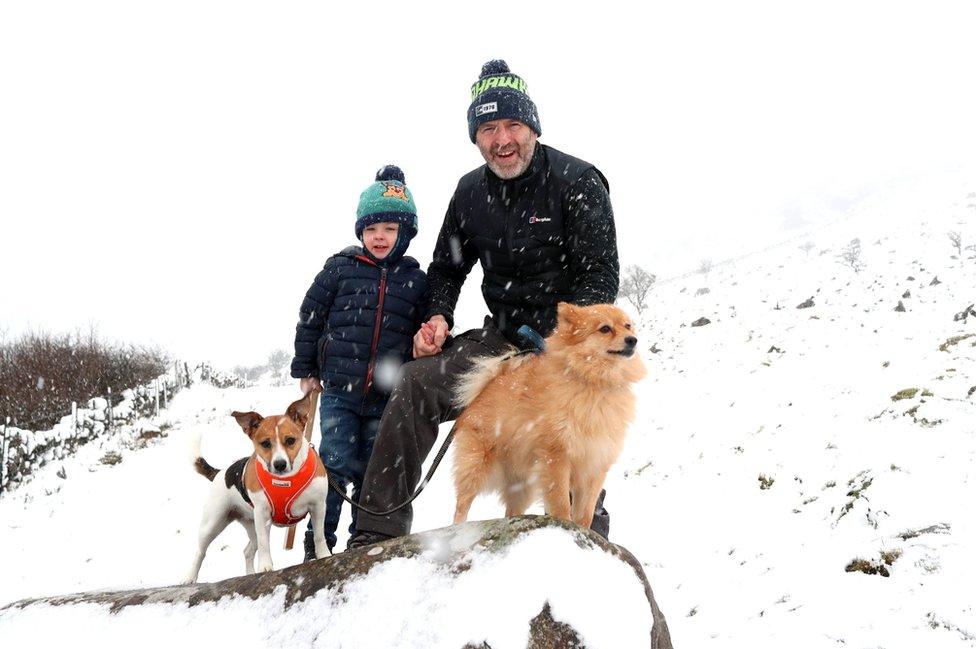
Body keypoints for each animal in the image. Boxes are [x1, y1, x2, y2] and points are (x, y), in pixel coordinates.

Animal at [185, 390, 330, 584]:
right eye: (265, 444)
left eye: (290, 440)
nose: (280, 464)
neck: (286, 481)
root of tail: (220, 473)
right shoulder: (262, 514)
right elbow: (264, 544)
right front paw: (265, 567)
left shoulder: (318, 506)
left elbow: (319, 535)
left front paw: (323, 555)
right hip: (213, 523)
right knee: (200, 552)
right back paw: (189, 577)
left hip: (249, 523)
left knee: (247, 551)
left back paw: (249, 574)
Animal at [452, 302, 648, 528]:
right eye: (605, 329)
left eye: (628, 326)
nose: (633, 339)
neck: (595, 383)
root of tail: (481, 392)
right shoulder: (556, 457)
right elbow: (561, 504)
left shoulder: (594, 465)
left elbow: (586, 513)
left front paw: (581, 530)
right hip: (476, 466)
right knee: (462, 503)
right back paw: (458, 528)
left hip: (522, 485)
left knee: (511, 511)